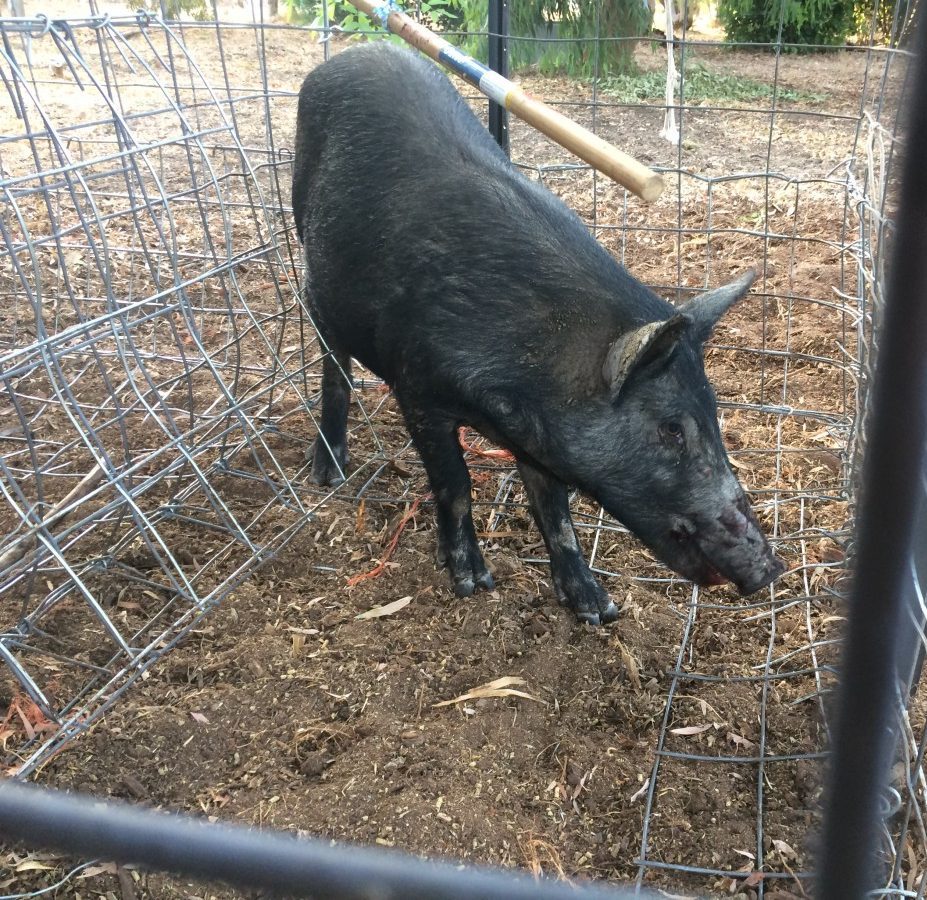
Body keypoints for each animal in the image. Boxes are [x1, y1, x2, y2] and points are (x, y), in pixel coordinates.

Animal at [292, 43, 783, 625]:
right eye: (670, 430)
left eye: (714, 413)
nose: (772, 568)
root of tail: (350, 52)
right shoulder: (418, 389)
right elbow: (455, 484)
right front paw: (472, 583)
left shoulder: (537, 439)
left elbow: (554, 508)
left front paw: (598, 609)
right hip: (309, 253)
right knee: (333, 362)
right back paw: (328, 475)